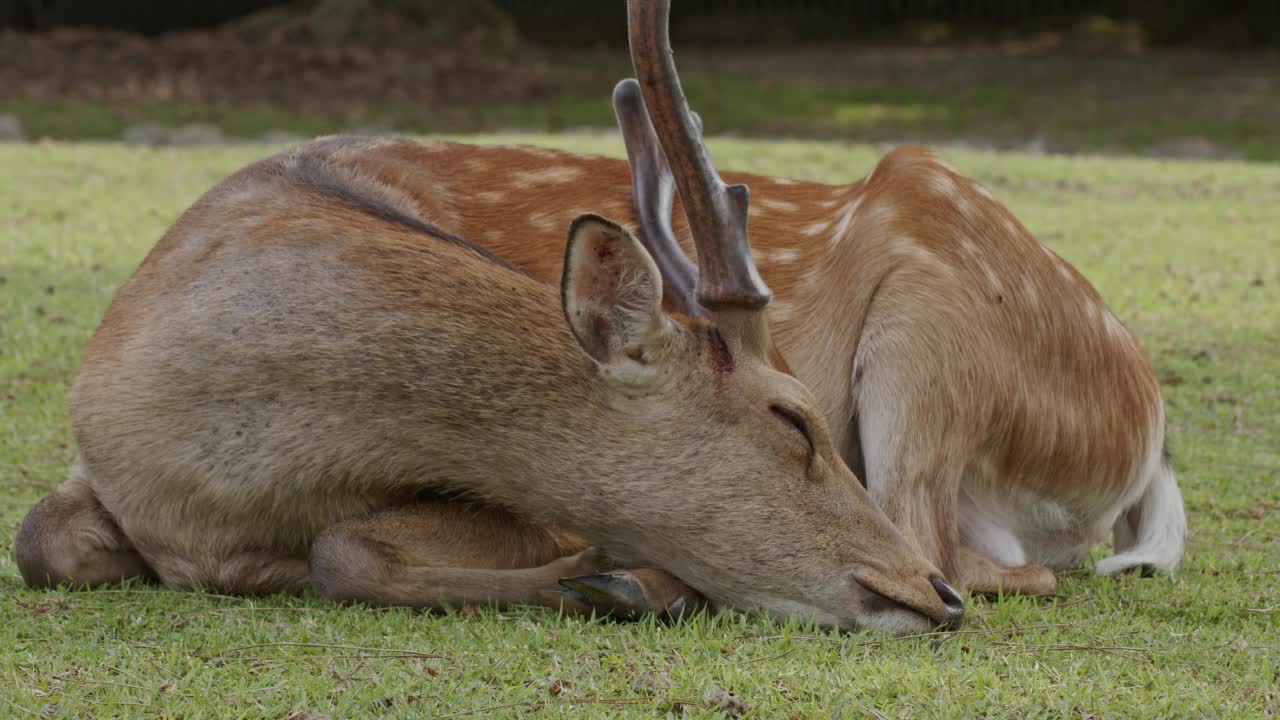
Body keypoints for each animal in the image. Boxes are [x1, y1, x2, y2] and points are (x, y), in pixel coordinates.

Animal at [10, 15, 977, 632]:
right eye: (791, 419)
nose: (935, 593)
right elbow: (35, 539)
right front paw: (618, 580)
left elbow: (342, 551)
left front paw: (625, 580)